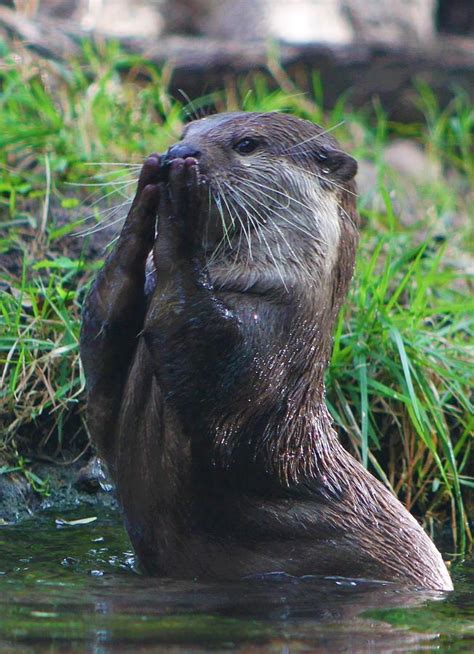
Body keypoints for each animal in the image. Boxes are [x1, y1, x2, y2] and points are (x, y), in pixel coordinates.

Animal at [79, 110, 454, 592]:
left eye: (246, 144)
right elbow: (104, 326)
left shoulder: (255, 351)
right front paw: (145, 199)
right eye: (186, 131)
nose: (180, 153)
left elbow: (193, 339)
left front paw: (182, 208)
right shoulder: (107, 382)